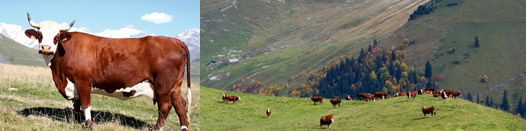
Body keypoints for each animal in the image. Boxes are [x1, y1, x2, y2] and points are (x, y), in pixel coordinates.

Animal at [23, 12, 192, 130]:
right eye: (39, 35)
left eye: (57, 36)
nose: (46, 48)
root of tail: (175, 41)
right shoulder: (74, 83)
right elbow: (76, 106)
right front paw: (76, 124)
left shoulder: (83, 81)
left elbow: (85, 105)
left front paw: (89, 126)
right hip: (174, 87)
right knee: (180, 106)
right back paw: (184, 128)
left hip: (163, 86)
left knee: (165, 107)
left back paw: (157, 129)